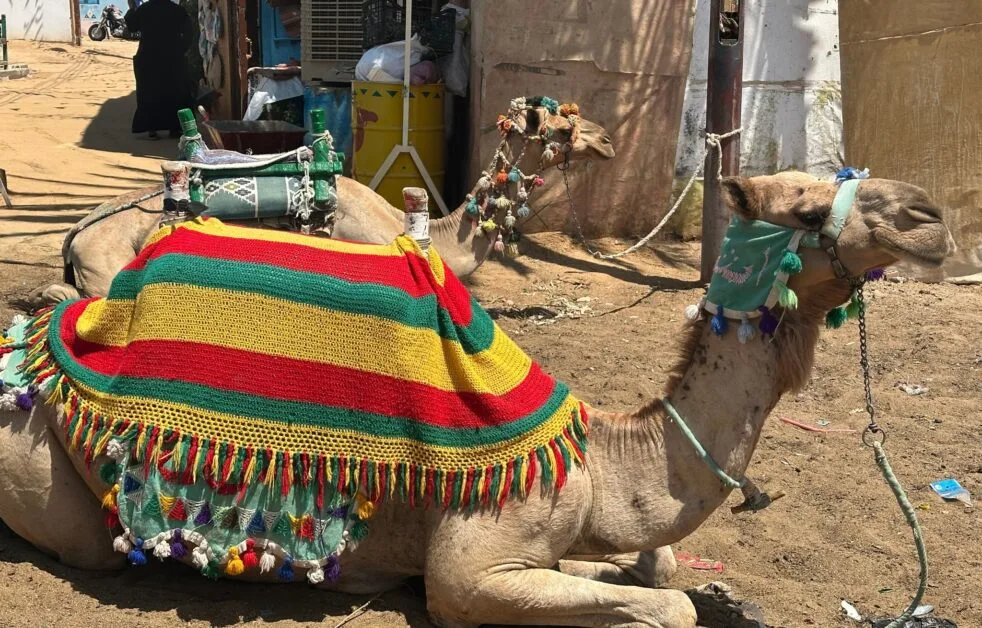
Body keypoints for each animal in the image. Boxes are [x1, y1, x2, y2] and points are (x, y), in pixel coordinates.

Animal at [0, 172, 954, 626]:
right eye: (803, 209)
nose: (931, 215)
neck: (594, 460)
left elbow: (659, 568)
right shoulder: (471, 569)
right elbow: (668, 602)